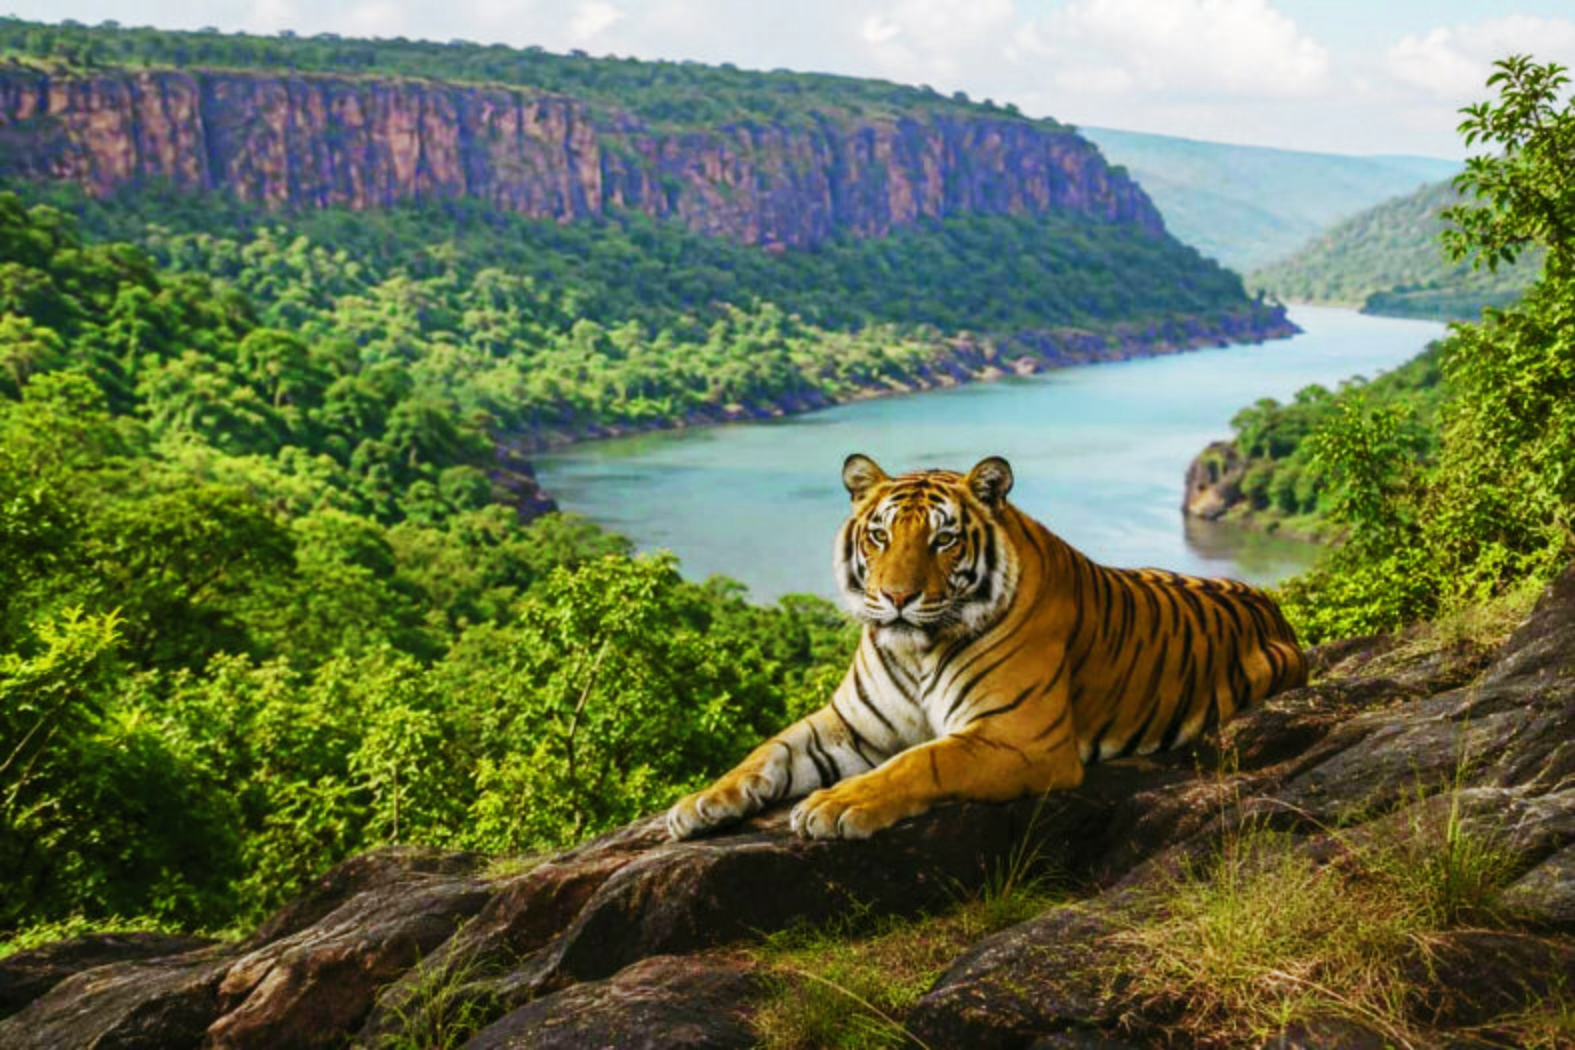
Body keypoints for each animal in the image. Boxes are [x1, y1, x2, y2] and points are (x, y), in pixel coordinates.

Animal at [666, 453, 1308, 841]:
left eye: (943, 540)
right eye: (880, 535)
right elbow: (768, 751)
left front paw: (835, 805)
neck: (916, 650)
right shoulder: (852, 725)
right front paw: (700, 803)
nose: (896, 597)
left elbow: (921, 759)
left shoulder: (1019, 736)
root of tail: (1269, 603)